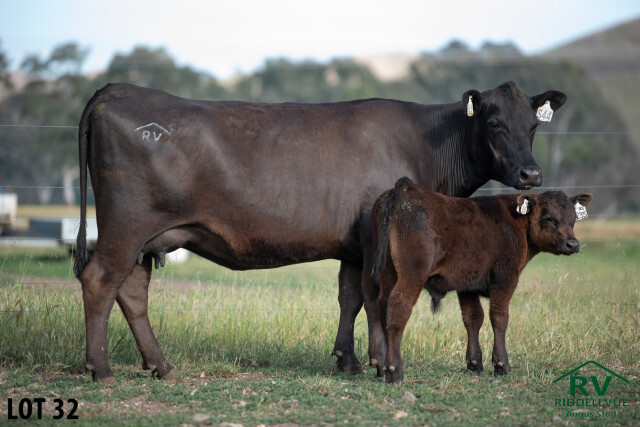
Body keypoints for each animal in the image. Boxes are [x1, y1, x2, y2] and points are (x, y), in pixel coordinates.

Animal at [74, 81, 566, 383]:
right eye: (493, 123)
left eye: (533, 125)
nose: (531, 173)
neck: (426, 145)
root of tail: (118, 89)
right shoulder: (373, 237)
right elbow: (375, 296)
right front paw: (380, 361)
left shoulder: (354, 245)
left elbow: (350, 296)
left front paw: (347, 358)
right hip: (126, 226)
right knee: (100, 280)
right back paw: (102, 369)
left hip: (144, 238)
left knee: (131, 291)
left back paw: (160, 365)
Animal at [368, 177, 592, 383]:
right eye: (548, 217)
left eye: (573, 218)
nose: (572, 244)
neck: (515, 222)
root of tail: (407, 189)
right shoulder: (505, 278)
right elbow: (499, 318)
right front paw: (501, 364)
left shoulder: (467, 284)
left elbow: (473, 318)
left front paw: (474, 363)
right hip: (412, 275)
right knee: (398, 310)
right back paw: (394, 371)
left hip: (388, 274)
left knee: (382, 309)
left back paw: (383, 368)